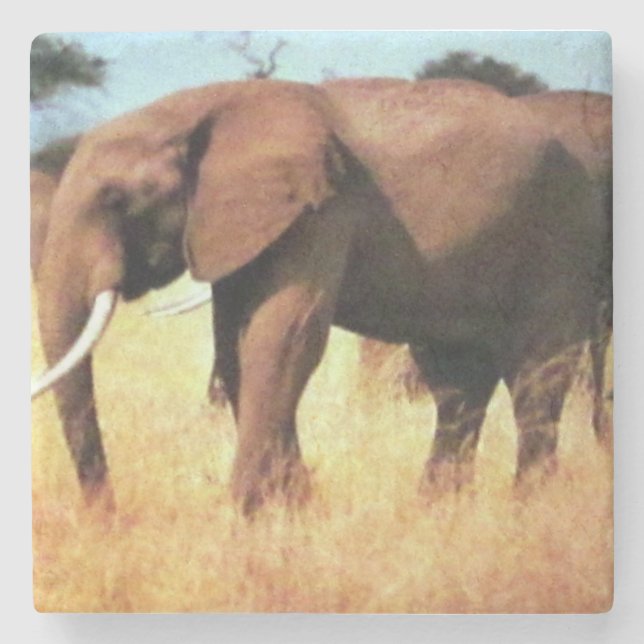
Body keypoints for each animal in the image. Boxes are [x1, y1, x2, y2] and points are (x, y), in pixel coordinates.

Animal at [31, 78, 611, 514]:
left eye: (115, 199)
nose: (110, 520)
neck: (202, 107)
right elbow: (238, 347)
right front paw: (294, 508)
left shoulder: (320, 208)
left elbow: (283, 338)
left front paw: (244, 515)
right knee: (456, 385)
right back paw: (438, 512)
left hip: (560, 239)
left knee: (537, 377)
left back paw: (527, 510)